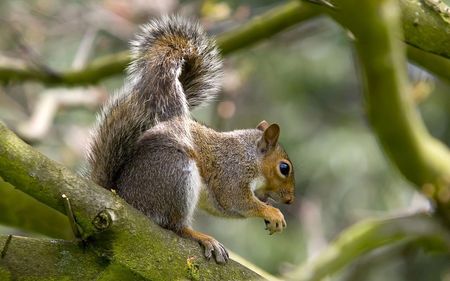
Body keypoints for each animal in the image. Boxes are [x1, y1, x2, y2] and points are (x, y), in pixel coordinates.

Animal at [87, 16, 296, 264]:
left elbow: (225, 207)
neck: (249, 155)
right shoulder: (232, 173)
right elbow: (235, 200)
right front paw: (272, 212)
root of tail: (122, 195)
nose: (290, 200)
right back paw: (201, 236)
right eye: (284, 168)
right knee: (174, 226)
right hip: (176, 174)